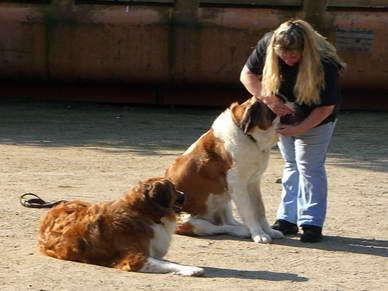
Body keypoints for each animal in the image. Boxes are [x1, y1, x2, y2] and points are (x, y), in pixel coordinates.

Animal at [38, 177, 205, 278]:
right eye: (174, 189)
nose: (184, 194)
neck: (145, 213)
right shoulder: (133, 258)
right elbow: (165, 263)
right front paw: (190, 269)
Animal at [165, 97, 284, 244]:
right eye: (276, 107)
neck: (248, 135)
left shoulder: (253, 183)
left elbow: (259, 209)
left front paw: (269, 231)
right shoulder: (237, 185)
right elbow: (249, 211)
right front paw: (258, 234)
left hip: (224, 198)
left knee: (228, 221)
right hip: (189, 220)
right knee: (218, 227)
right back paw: (243, 230)